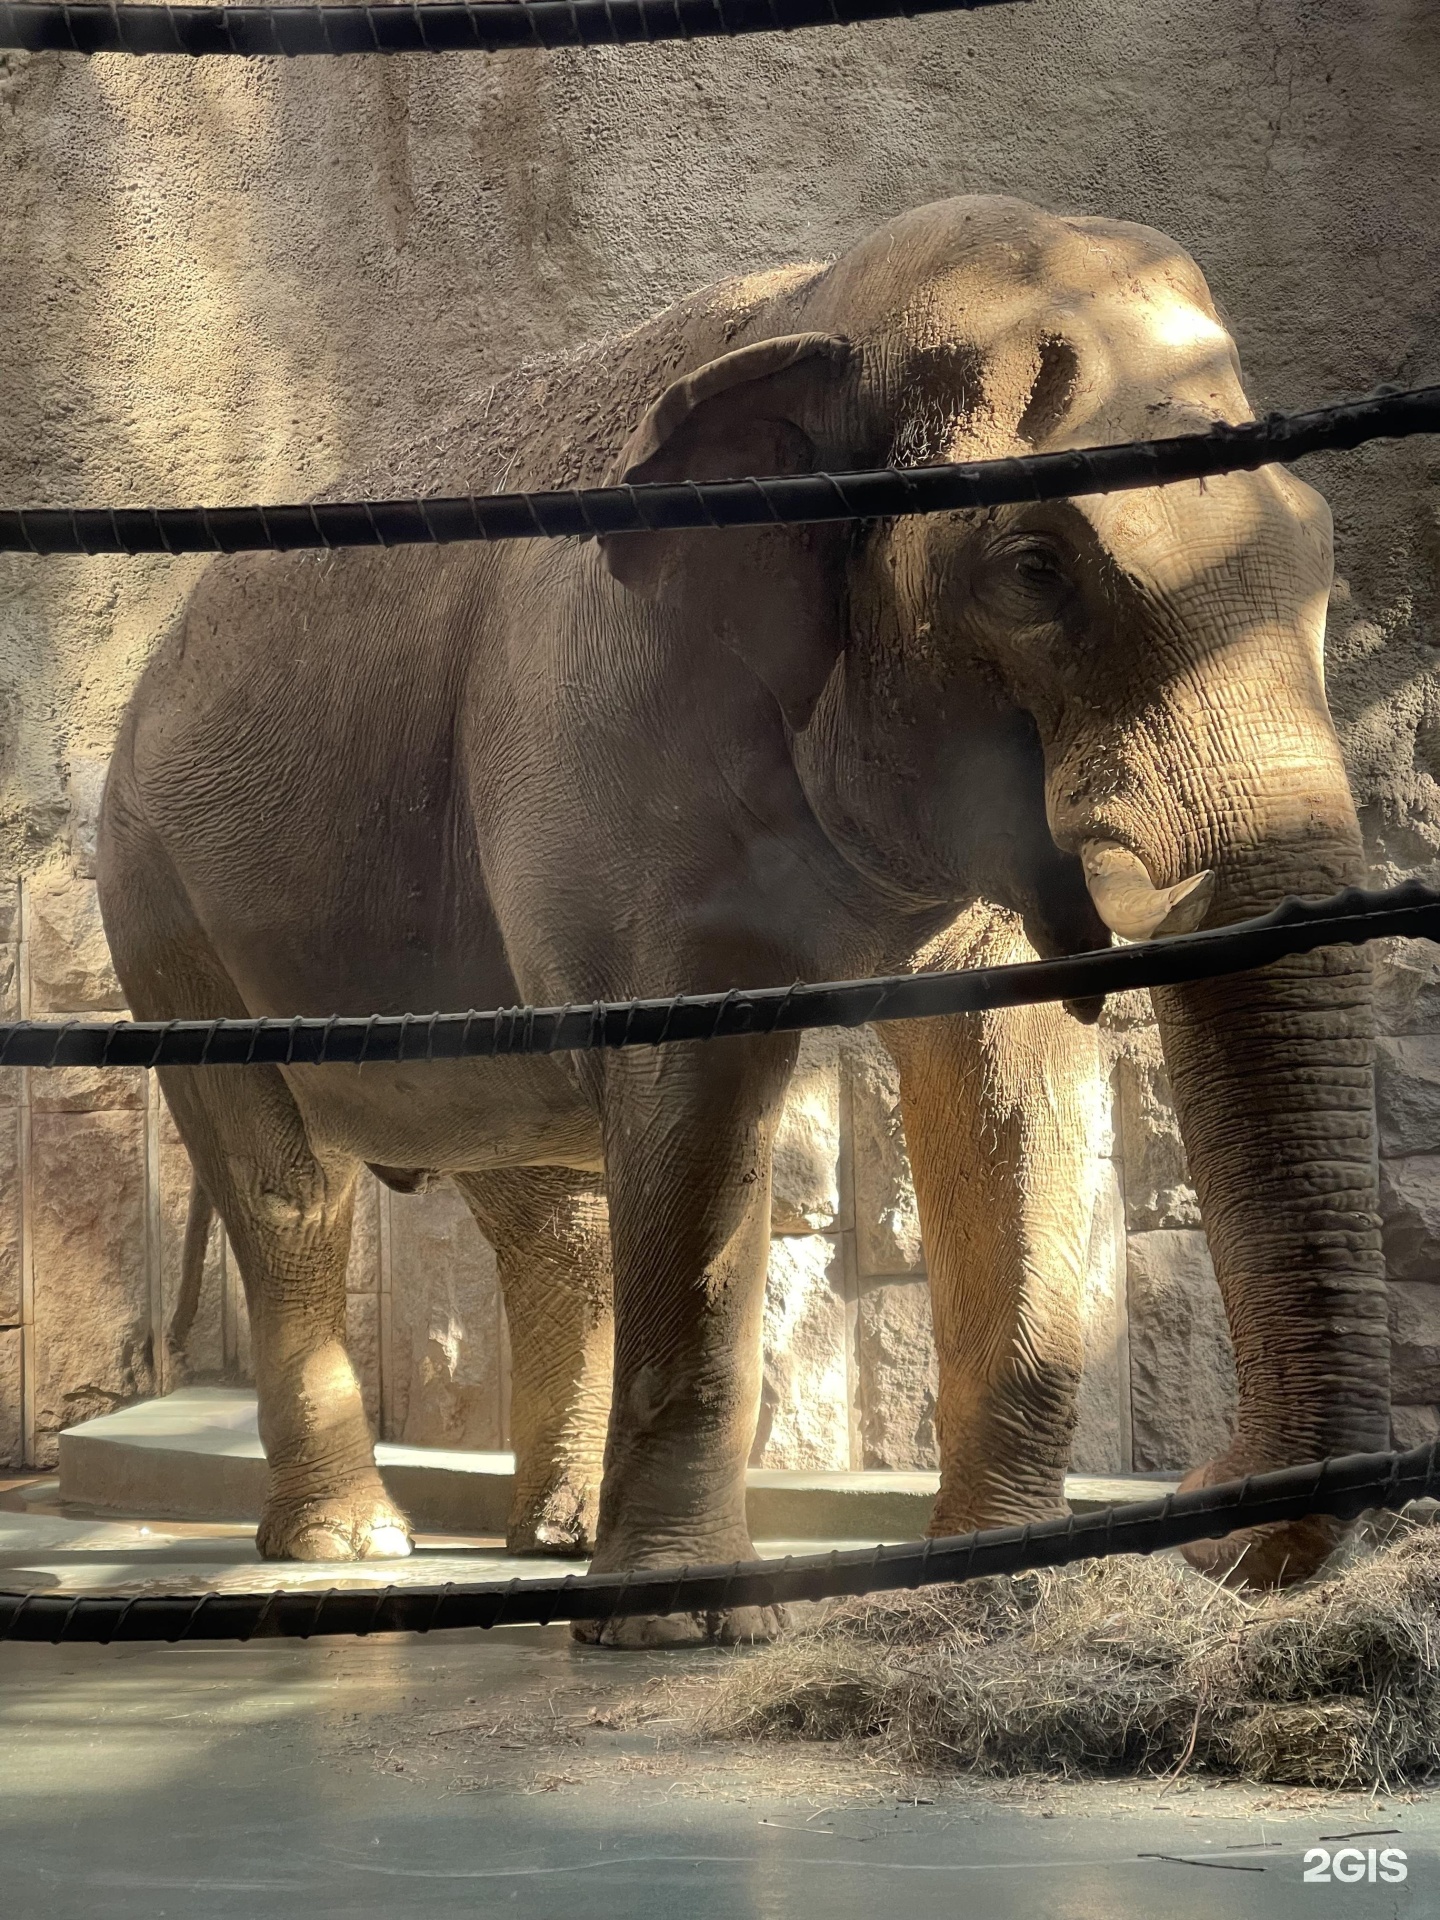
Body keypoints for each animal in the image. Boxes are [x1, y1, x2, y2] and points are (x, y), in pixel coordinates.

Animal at [96, 191, 1390, 1635]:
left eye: (1323, 549)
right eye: (1035, 568)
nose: (1209, 1516)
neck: (822, 304)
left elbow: (1004, 1074)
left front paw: (994, 1593)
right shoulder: (613, 745)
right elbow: (697, 1085)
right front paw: (685, 1621)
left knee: (546, 1196)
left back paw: (553, 1534)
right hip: (156, 899)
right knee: (286, 1189)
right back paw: (351, 1545)